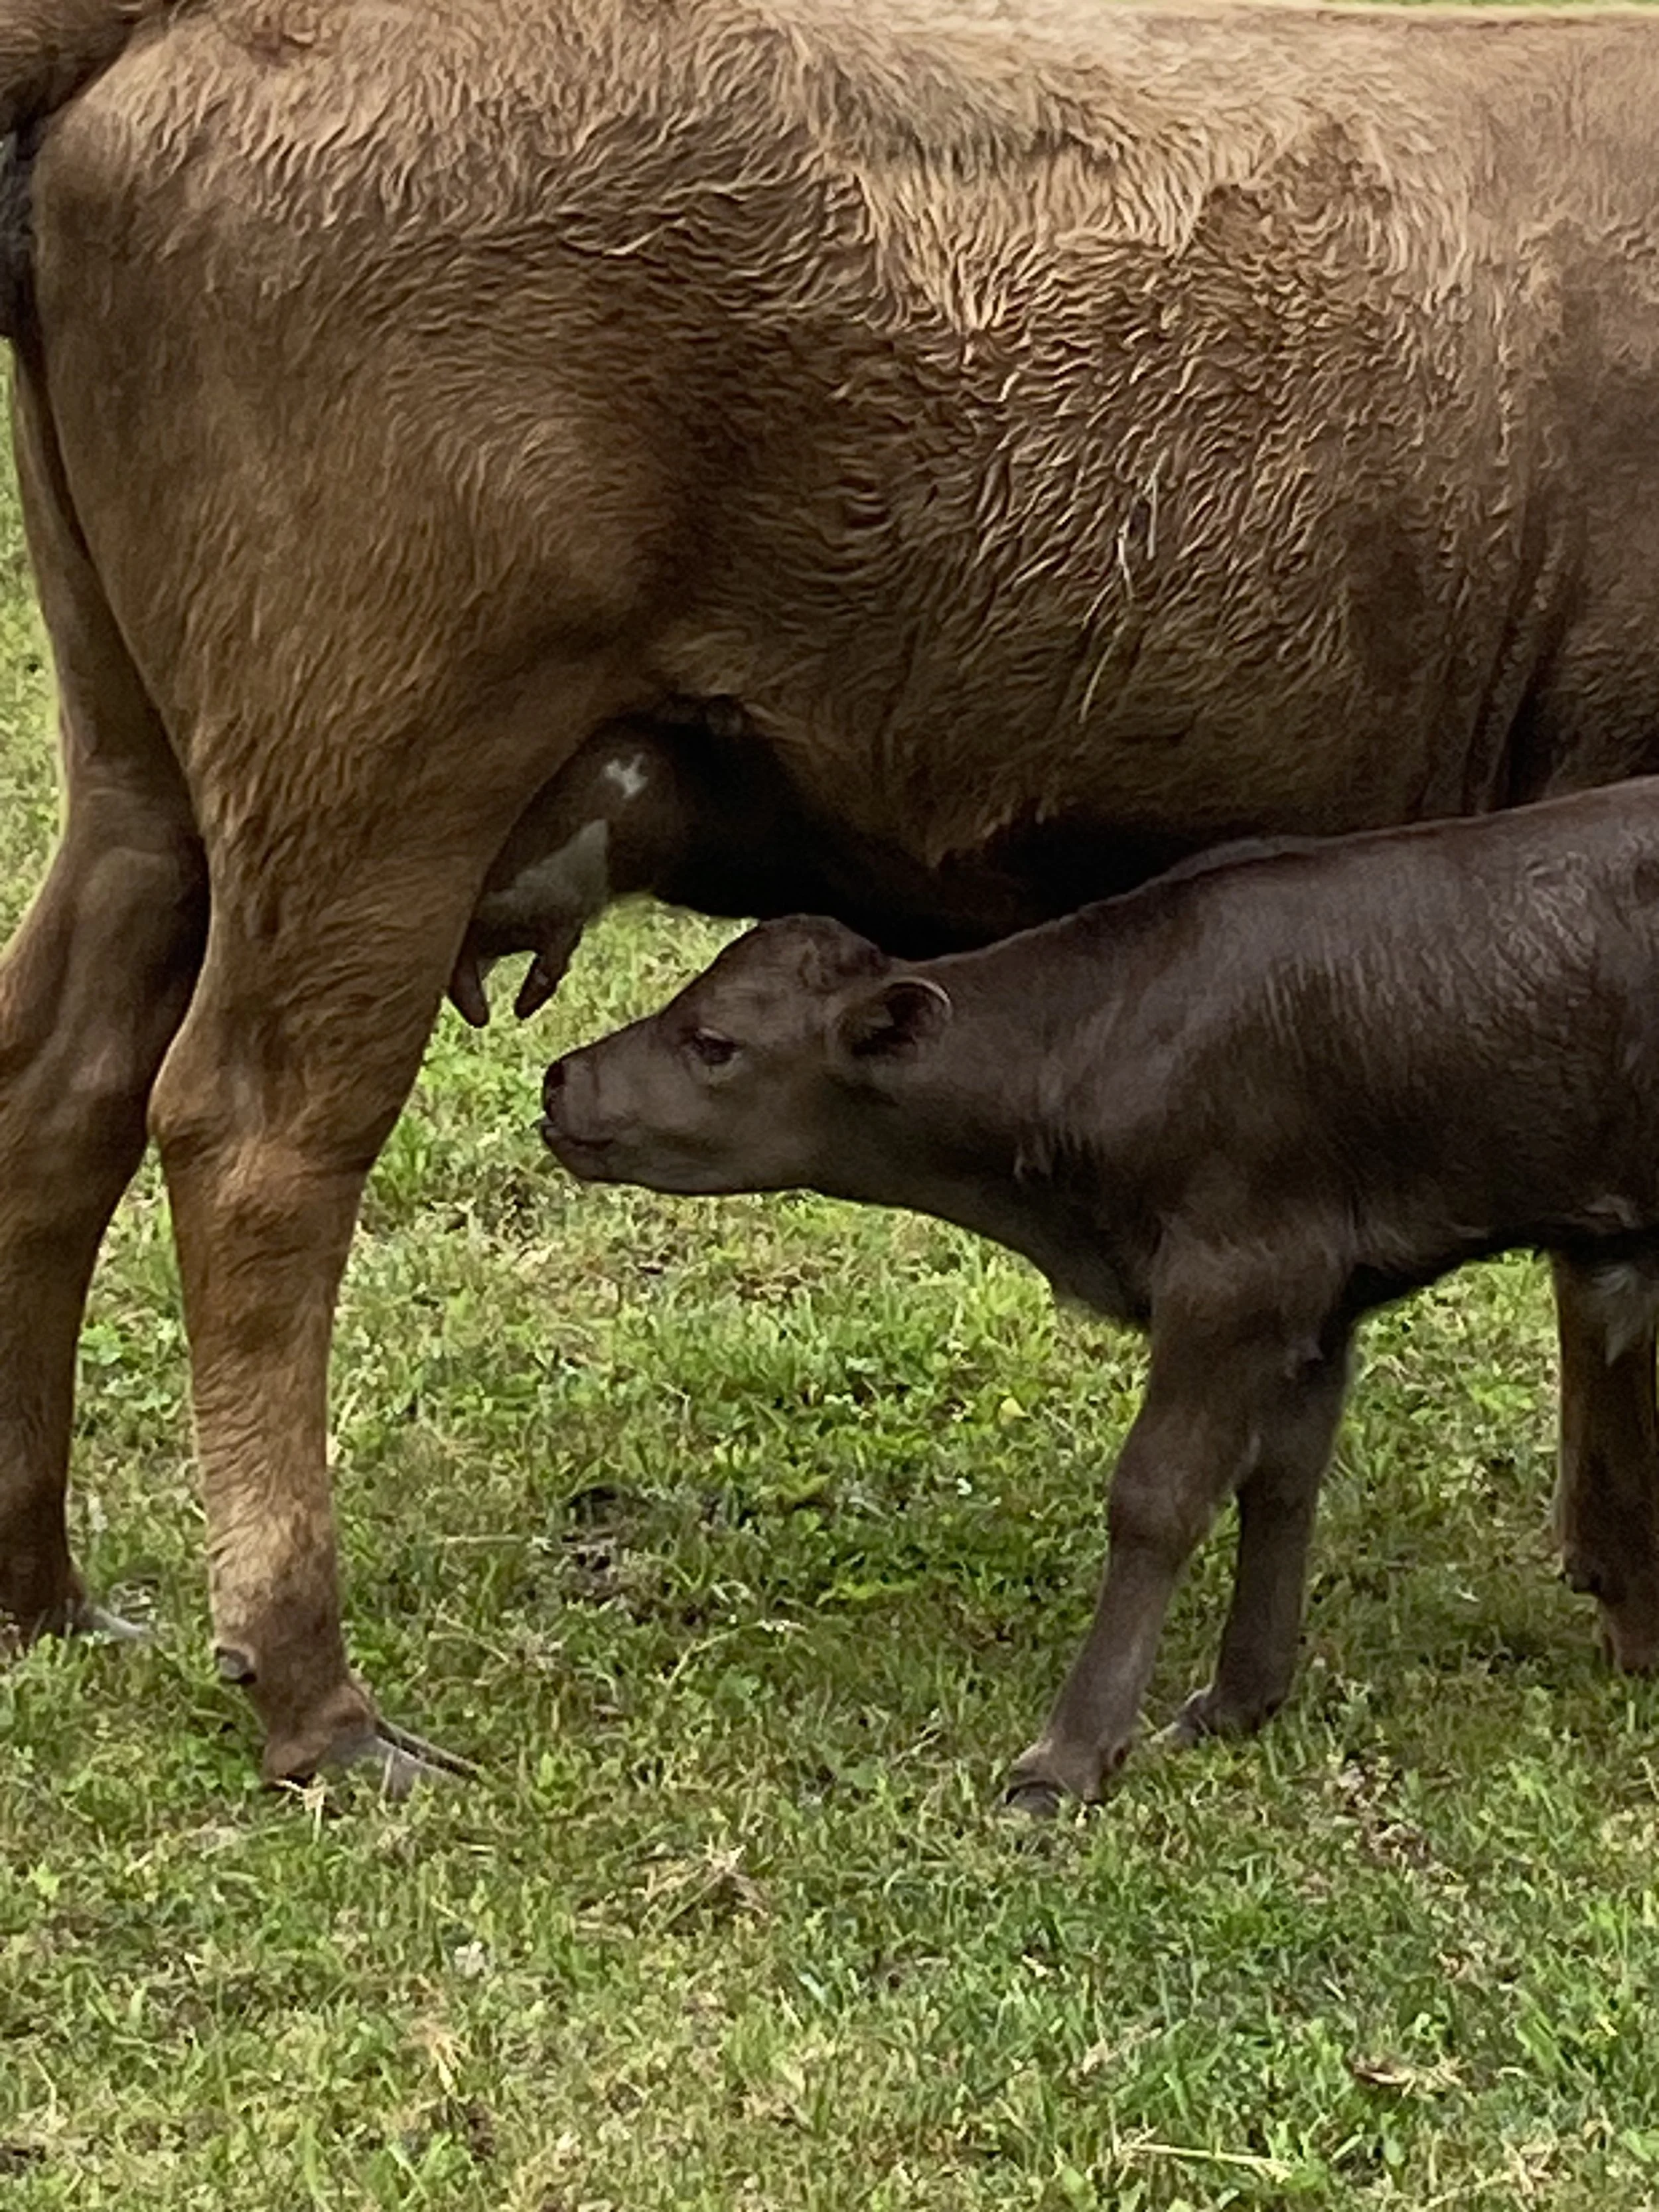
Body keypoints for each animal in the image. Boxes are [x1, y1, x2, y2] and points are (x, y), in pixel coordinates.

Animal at [541, 782, 1659, 1807]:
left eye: (714, 1042)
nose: (560, 1077)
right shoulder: (1319, 1293)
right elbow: (1281, 1476)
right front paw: (1240, 1699)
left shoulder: (1238, 1272)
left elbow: (1158, 1496)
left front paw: (1068, 1755)